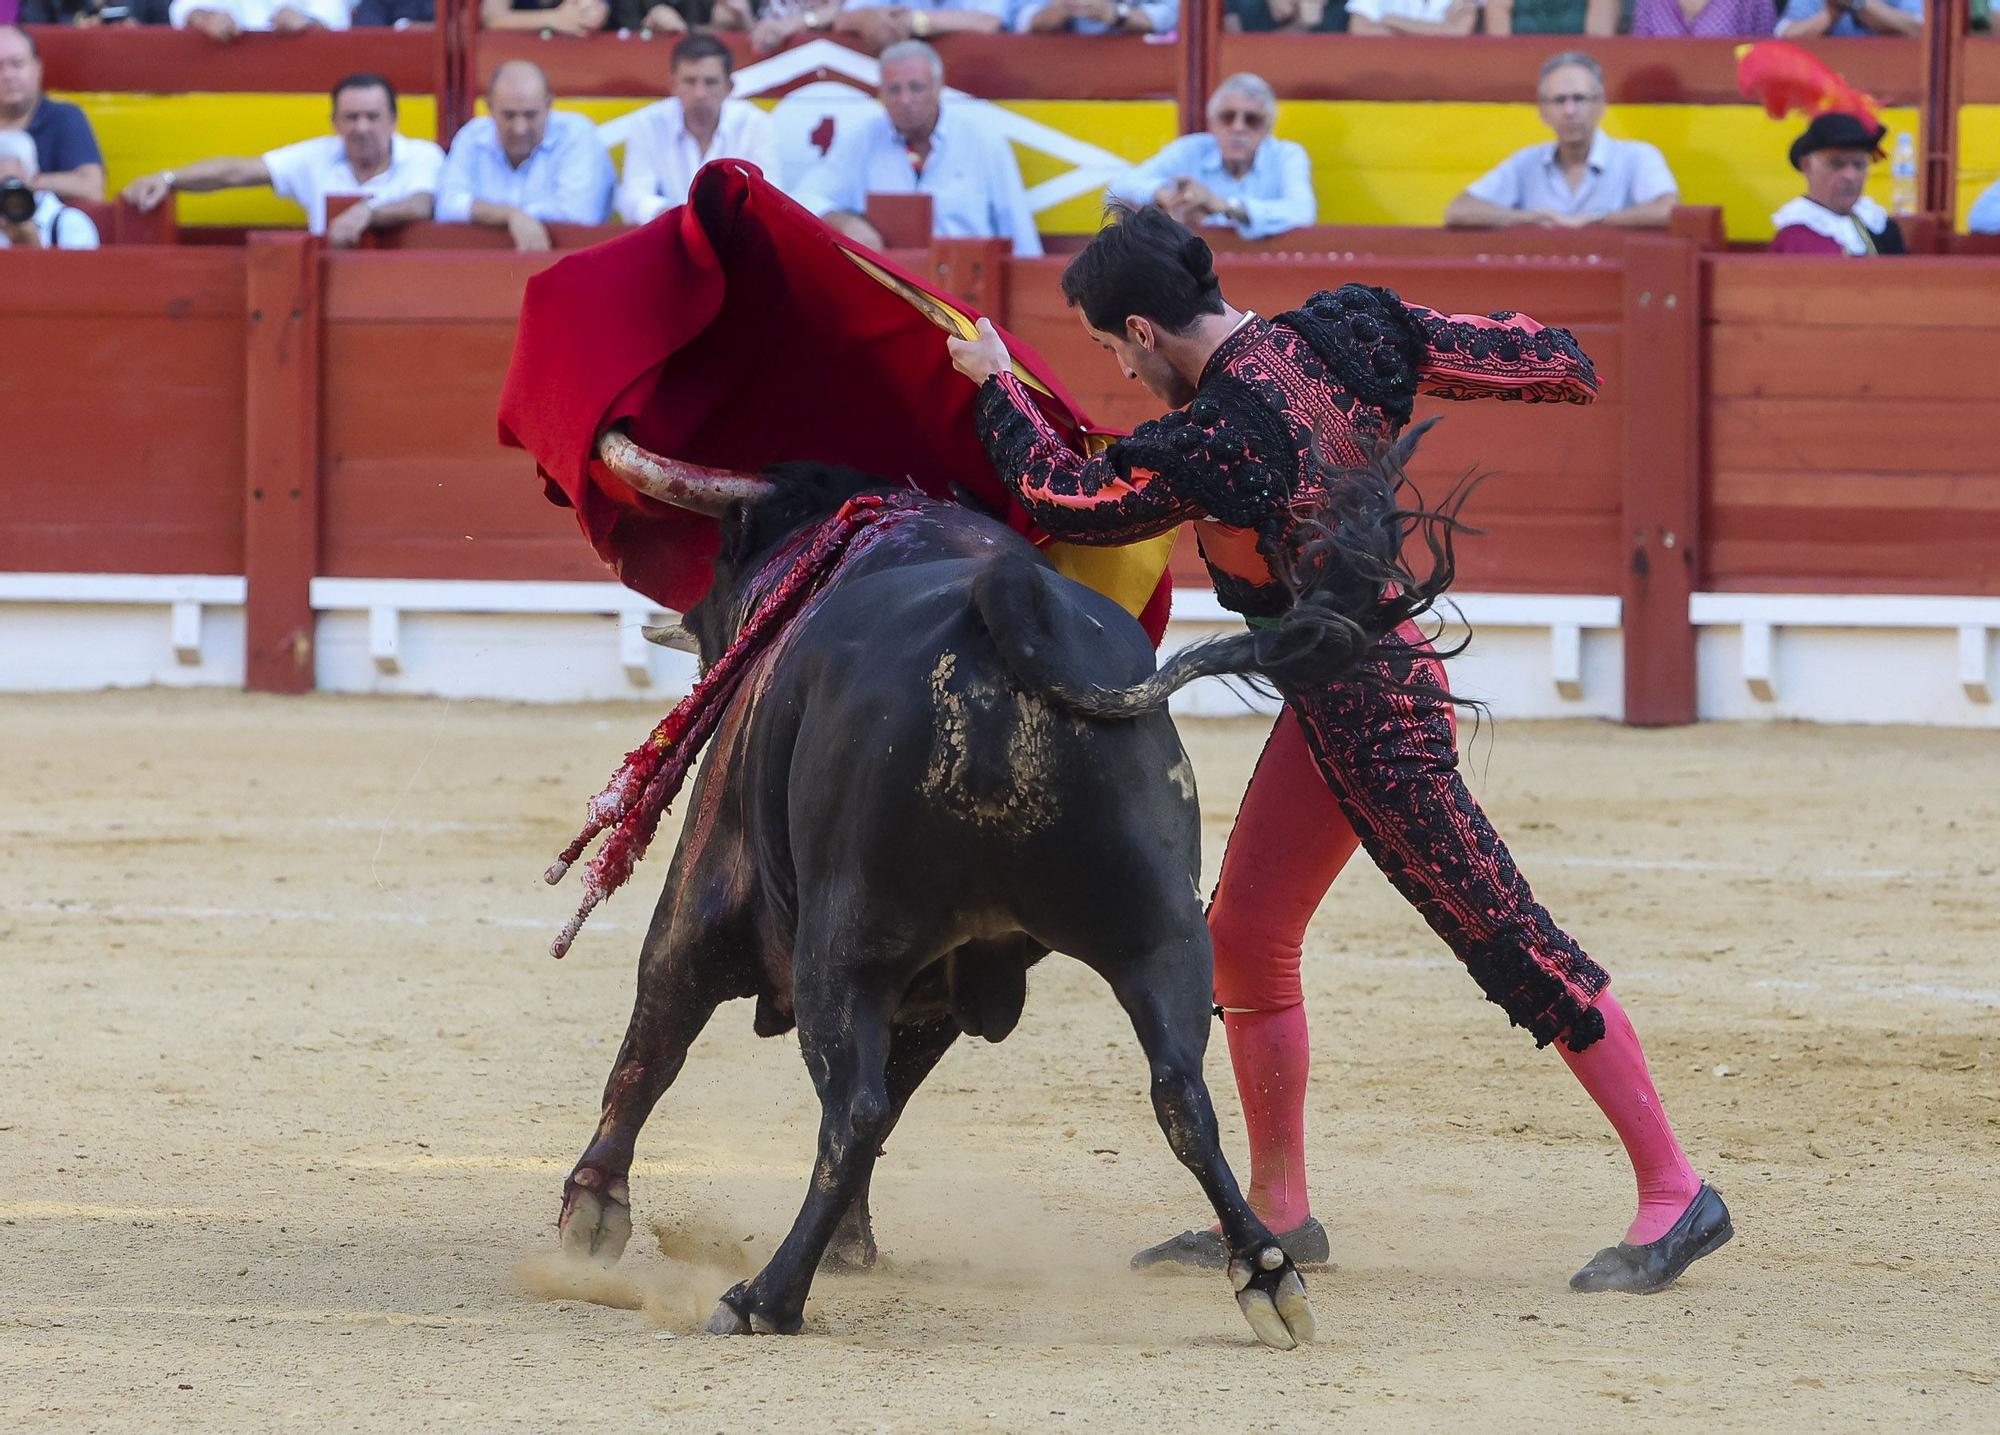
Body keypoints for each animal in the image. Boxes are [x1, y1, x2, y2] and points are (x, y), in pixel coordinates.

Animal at [556, 435, 1464, 1351]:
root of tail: (1004, 604)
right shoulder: (936, 992)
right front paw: (851, 1243)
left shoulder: (707, 888)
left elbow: (652, 1040)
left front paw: (591, 1217)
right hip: (1161, 932)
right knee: (1182, 1092)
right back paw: (1267, 1274)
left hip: (845, 945)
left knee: (850, 1108)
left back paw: (765, 1297)